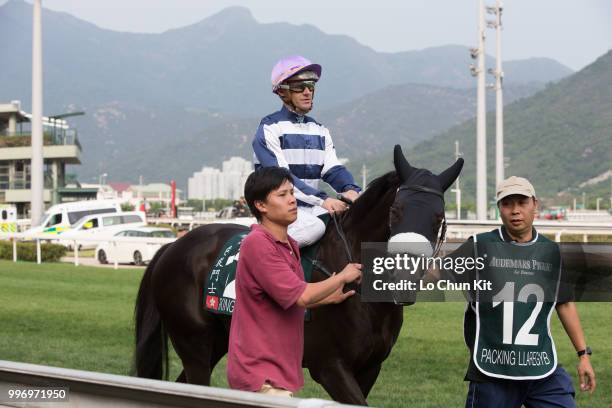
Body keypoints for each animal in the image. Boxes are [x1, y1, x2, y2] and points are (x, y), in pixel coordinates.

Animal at [133, 146, 460, 404]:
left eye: (439, 218)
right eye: (396, 211)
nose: (404, 277)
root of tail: (174, 245)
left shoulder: (370, 366)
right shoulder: (329, 366)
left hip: (218, 341)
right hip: (194, 343)